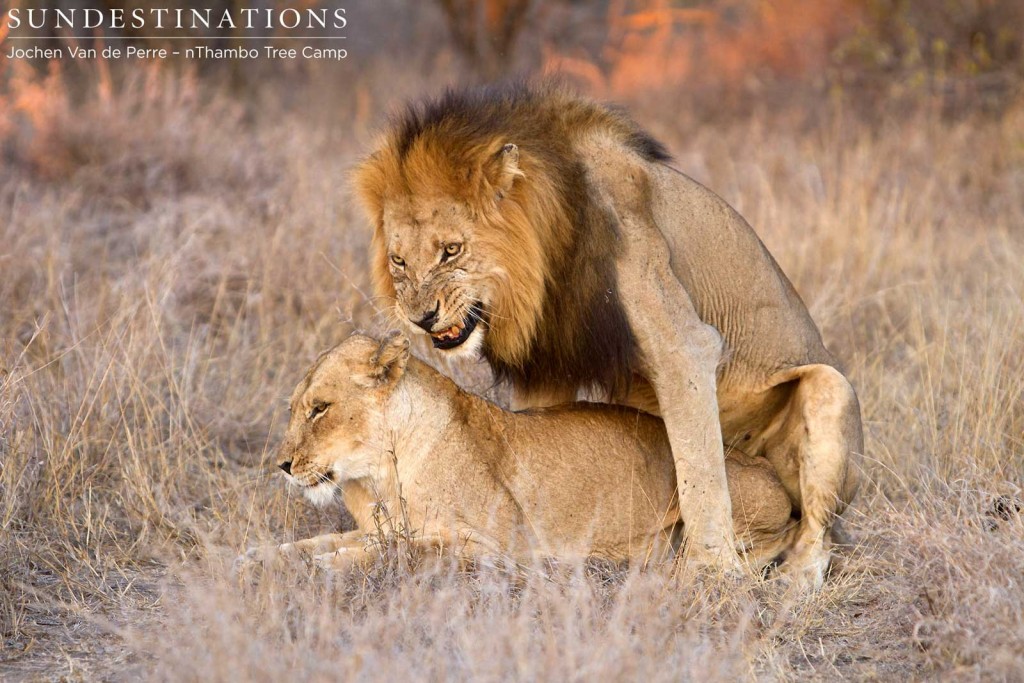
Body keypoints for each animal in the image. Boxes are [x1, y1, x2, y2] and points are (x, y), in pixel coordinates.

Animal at [241, 331, 798, 573]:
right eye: (294, 409)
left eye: (320, 409)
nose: (282, 466)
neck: (379, 475)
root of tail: (772, 472)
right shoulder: (380, 525)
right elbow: (322, 541)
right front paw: (258, 556)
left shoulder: (495, 545)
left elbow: (394, 550)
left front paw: (322, 566)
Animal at [356, 81, 860, 589]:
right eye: (399, 261)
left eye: (451, 250)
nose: (421, 318)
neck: (549, 252)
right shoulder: (548, 363)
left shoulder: (684, 344)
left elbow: (699, 471)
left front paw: (710, 571)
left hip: (831, 391)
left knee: (818, 530)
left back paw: (795, 580)